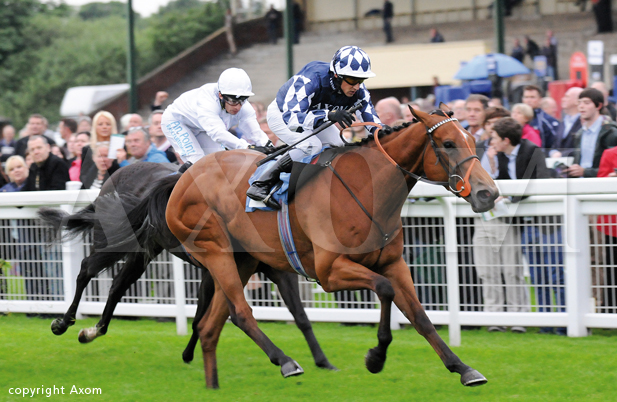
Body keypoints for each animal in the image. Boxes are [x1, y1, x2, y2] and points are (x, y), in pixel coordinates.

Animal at [36, 162, 334, 370]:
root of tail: (113, 176)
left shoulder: (275, 271)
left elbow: (300, 315)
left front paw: (322, 360)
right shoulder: (215, 269)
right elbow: (208, 314)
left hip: (142, 250)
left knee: (118, 286)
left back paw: (94, 330)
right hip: (114, 238)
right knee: (86, 269)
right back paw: (63, 322)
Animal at [158, 105, 496, 388]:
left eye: (472, 139)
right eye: (448, 143)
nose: (488, 193)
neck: (367, 188)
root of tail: (184, 176)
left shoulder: (393, 264)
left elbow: (420, 317)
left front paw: (463, 368)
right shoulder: (330, 272)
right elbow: (384, 289)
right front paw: (376, 357)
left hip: (243, 260)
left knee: (210, 326)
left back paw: (213, 385)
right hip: (217, 251)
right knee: (239, 312)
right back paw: (286, 362)